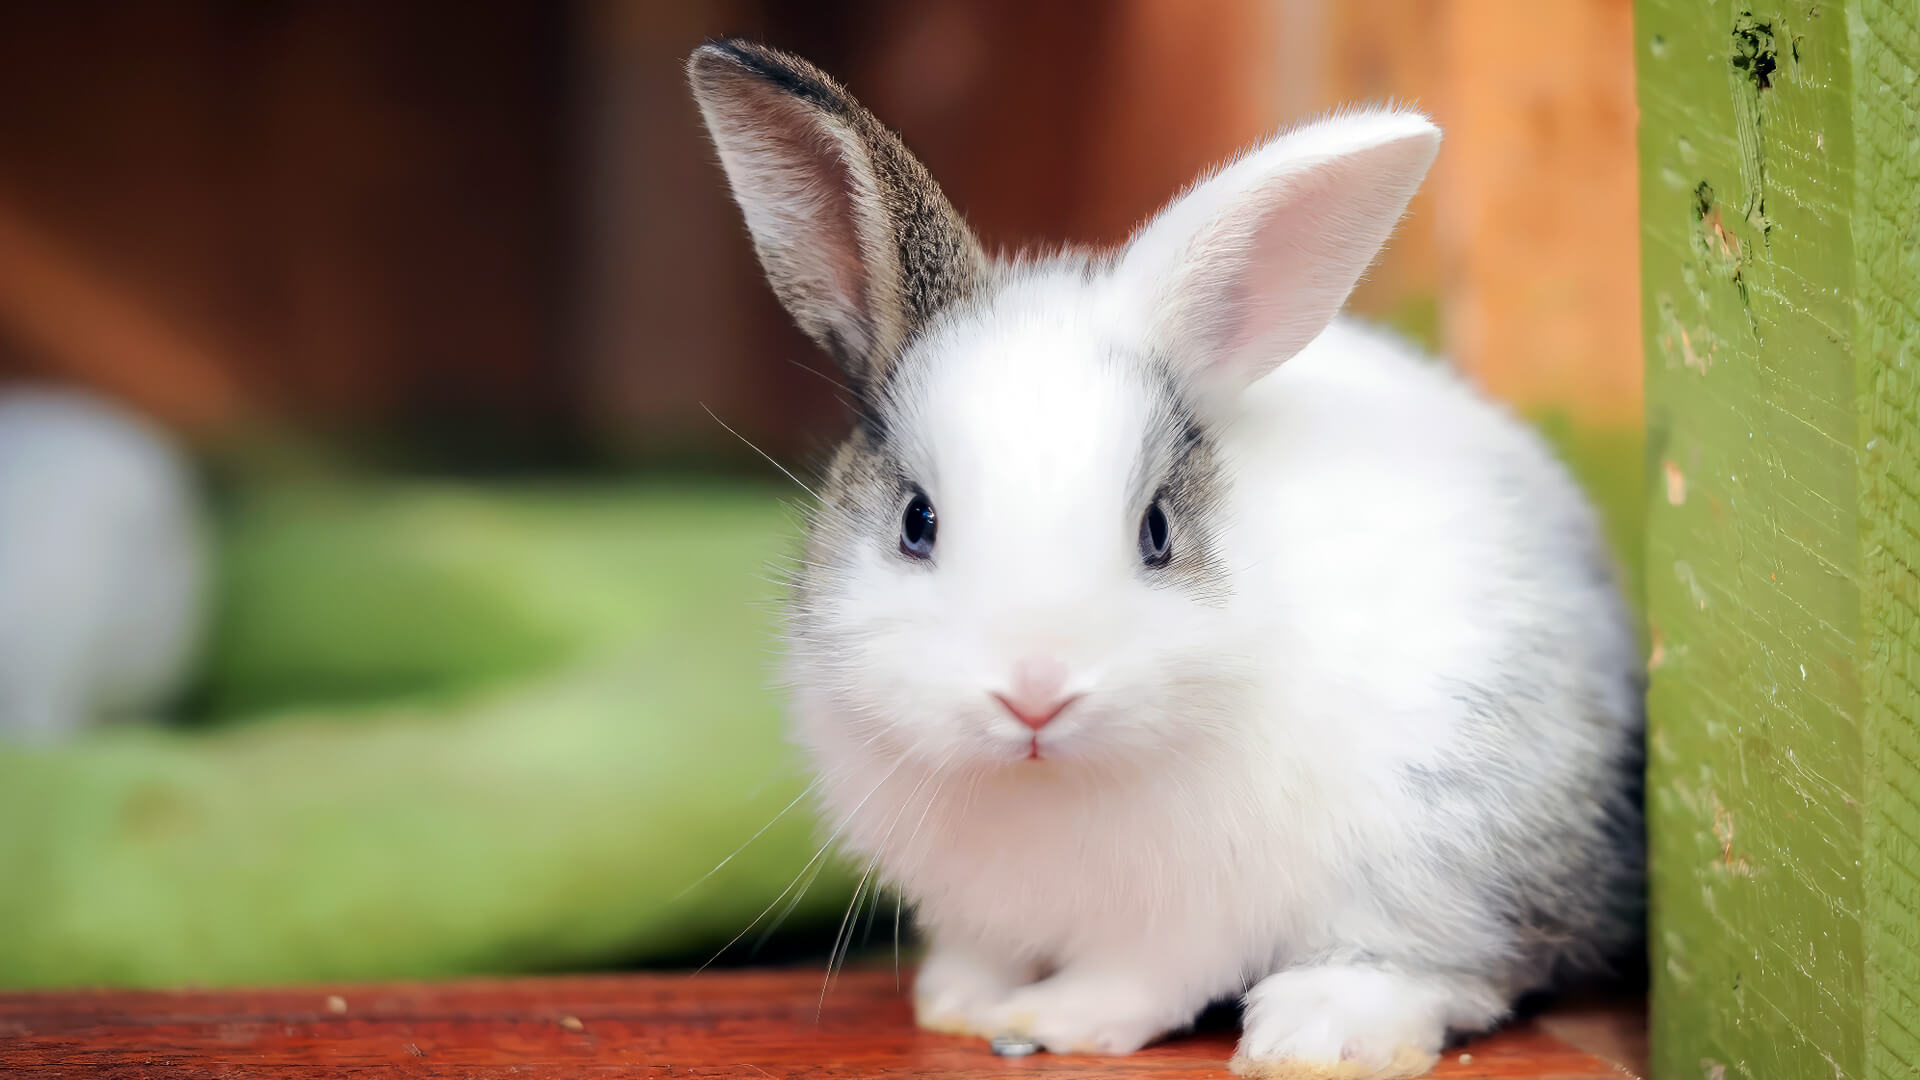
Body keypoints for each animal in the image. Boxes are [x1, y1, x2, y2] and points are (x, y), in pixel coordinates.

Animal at [689, 39, 1643, 1080]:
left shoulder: (1190, 919)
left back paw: (1316, 1034)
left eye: (1156, 531)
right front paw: (956, 1008)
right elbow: (982, 952)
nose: (1035, 693)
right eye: (916, 520)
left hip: (1454, 835)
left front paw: (1053, 1022)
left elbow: (1141, 980)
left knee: (1456, 964)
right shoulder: (973, 906)